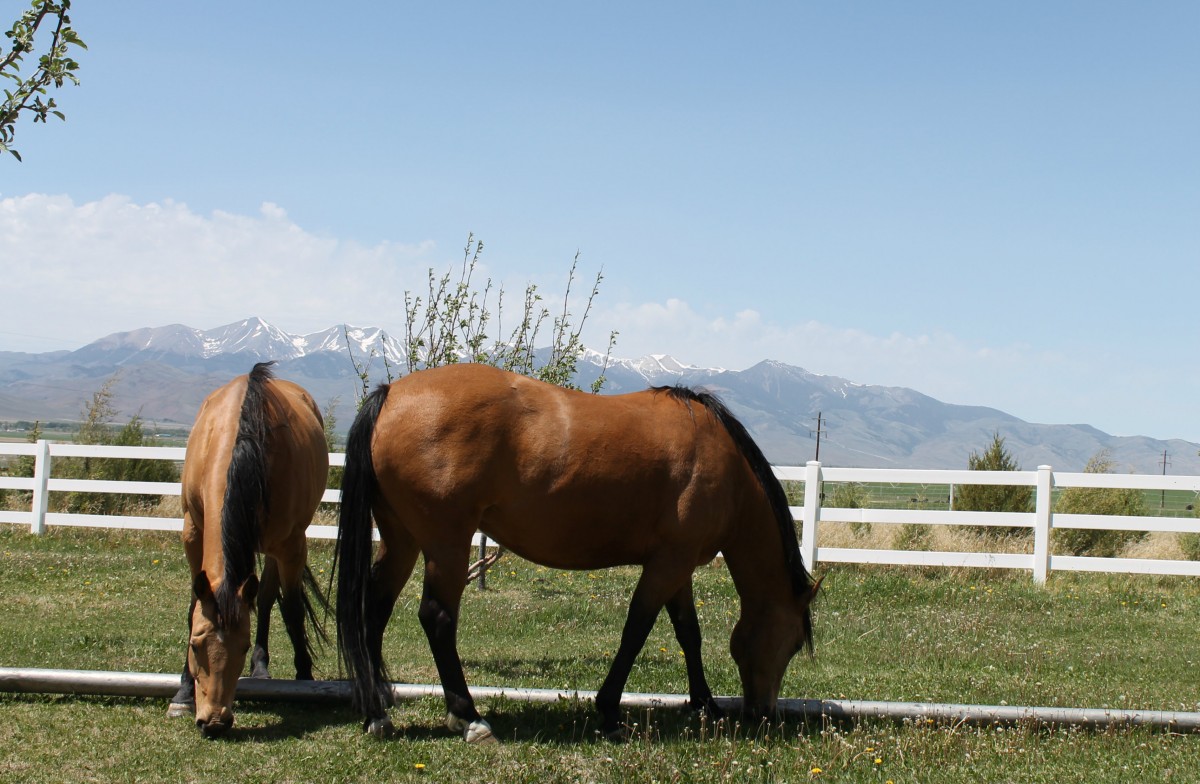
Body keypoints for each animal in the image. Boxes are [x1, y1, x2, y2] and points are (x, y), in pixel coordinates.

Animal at [165, 360, 328, 734]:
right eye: (196, 645)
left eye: (242, 646)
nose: (214, 721)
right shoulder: (192, 532)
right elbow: (193, 605)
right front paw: (182, 694)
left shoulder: (291, 544)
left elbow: (293, 610)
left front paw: (304, 678)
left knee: (267, 598)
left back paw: (264, 665)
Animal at [336, 360, 816, 739]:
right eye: (794, 644)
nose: (764, 714)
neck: (725, 465)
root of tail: (391, 394)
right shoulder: (669, 564)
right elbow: (636, 631)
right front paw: (609, 712)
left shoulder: (677, 565)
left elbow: (688, 633)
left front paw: (706, 705)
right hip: (446, 544)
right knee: (436, 618)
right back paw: (468, 716)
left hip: (401, 540)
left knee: (374, 610)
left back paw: (378, 713)